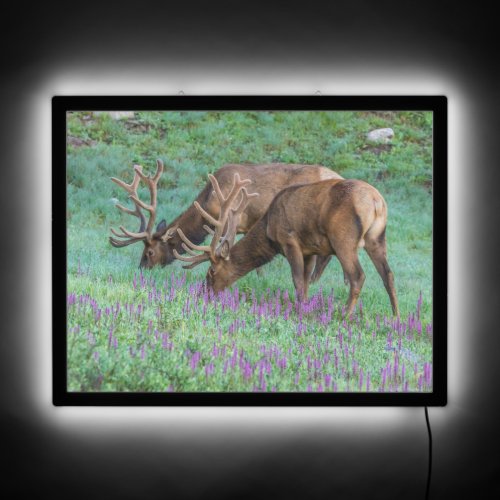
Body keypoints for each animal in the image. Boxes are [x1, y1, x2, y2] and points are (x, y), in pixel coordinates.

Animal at [174, 174, 400, 318]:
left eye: (211, 272)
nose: (203, 294)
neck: (268, 231)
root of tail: (377, 202)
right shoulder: (311, 250)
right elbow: (307, 282)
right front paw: (307, 306)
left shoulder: (289, 240)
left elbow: (298, 281)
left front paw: (299, 311)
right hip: (377, 238)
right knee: (388, 275)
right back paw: (396, 316)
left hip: (343, 238)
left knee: (358, 276)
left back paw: (344, 315)